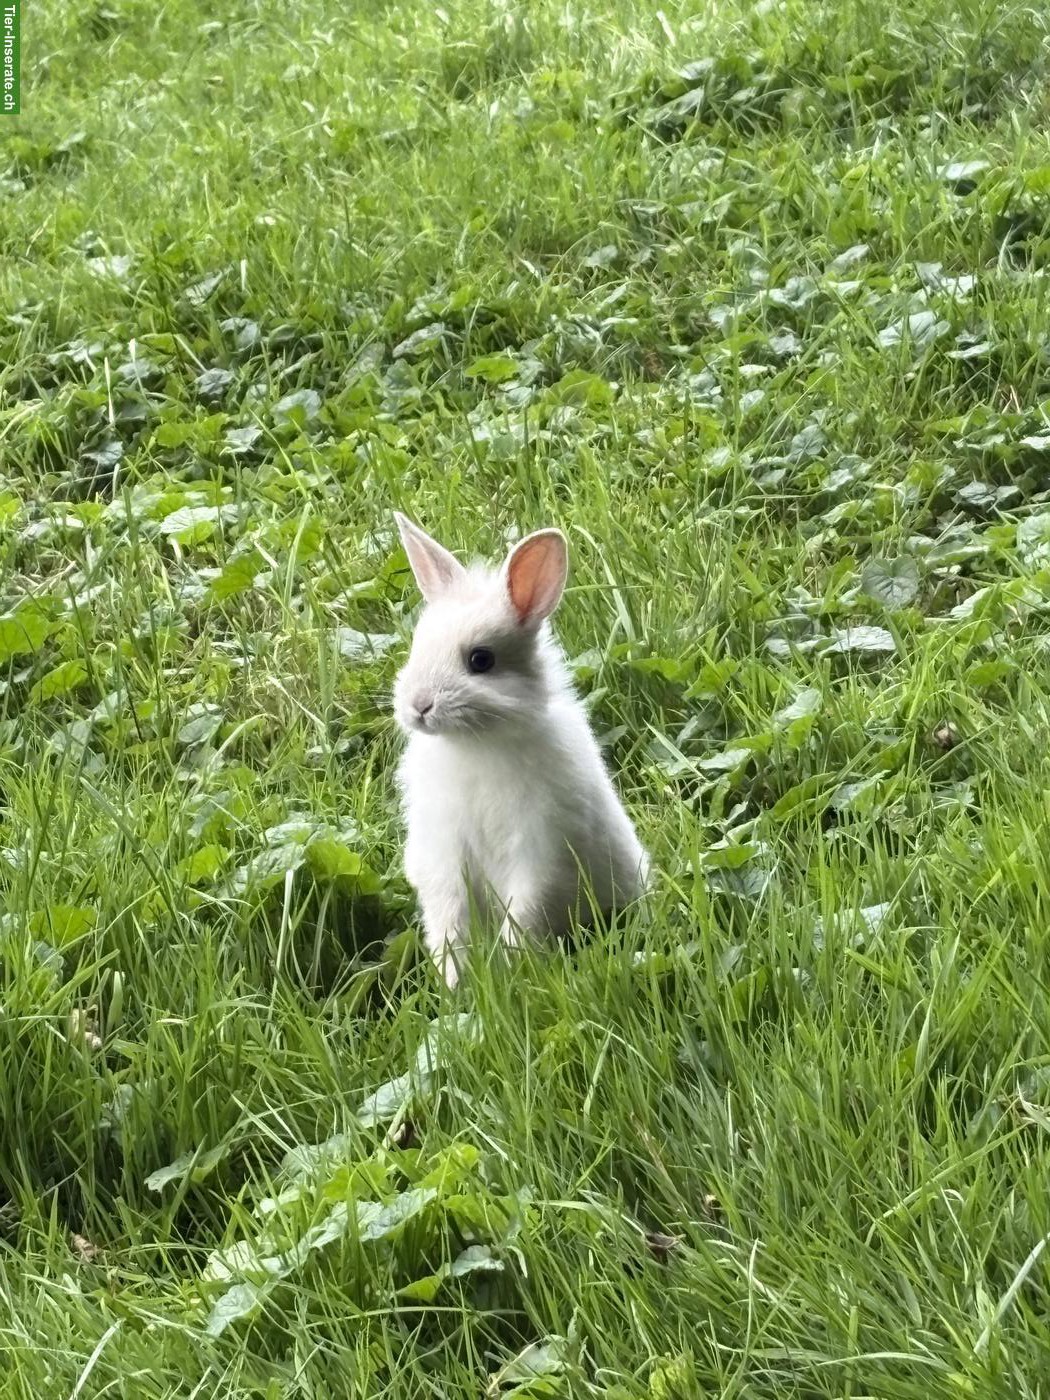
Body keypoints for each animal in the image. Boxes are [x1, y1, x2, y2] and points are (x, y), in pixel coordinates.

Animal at [392, 512, 649, 987]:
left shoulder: (540, 854)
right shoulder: (443, 858)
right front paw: (456, 982)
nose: (418, 706)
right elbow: (451, 921)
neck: (476, 744)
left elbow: (524, 914)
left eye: (481, 660)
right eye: (417, 648)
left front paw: (513, 972)